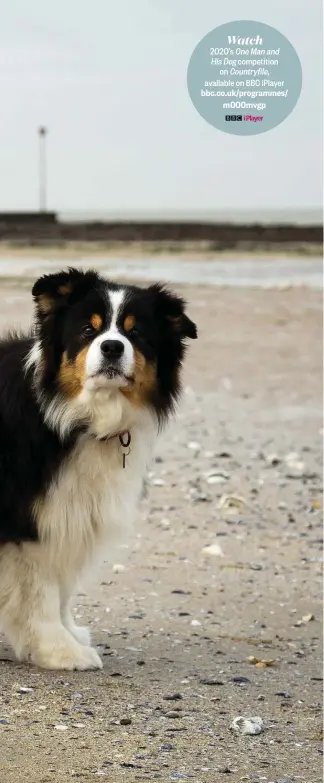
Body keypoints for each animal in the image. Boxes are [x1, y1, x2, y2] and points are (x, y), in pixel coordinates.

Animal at [0, 266, 197, 672]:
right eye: (88, 330)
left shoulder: (70, 508)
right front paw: (59, 650)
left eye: (135, 333)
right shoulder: (27, 520)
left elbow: (62, 588)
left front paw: (68, 635)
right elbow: (40, 589)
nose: (112, 347)